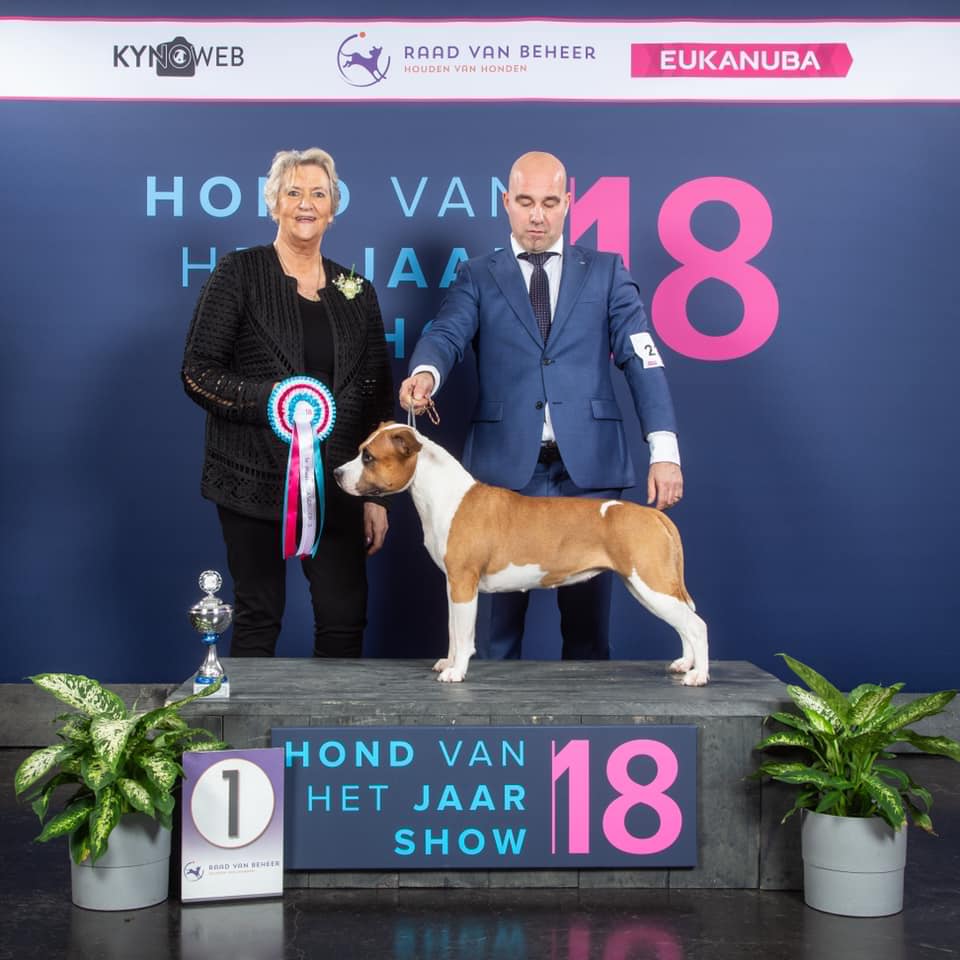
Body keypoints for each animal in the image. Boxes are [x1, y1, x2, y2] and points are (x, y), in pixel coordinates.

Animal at [334, 423, 708, 686]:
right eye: (360, 451)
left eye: (368, 457)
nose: (337, 473)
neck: (444, 493)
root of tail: (653, 515)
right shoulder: (453, 585)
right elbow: (454, 631)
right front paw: (449, 661)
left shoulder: (464, 583)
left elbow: (464, 633)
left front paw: (456, 672)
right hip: (647, 585)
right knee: (684, 624)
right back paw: (684, 664)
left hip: (651, 582)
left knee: (696, 625)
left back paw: (697, 675)